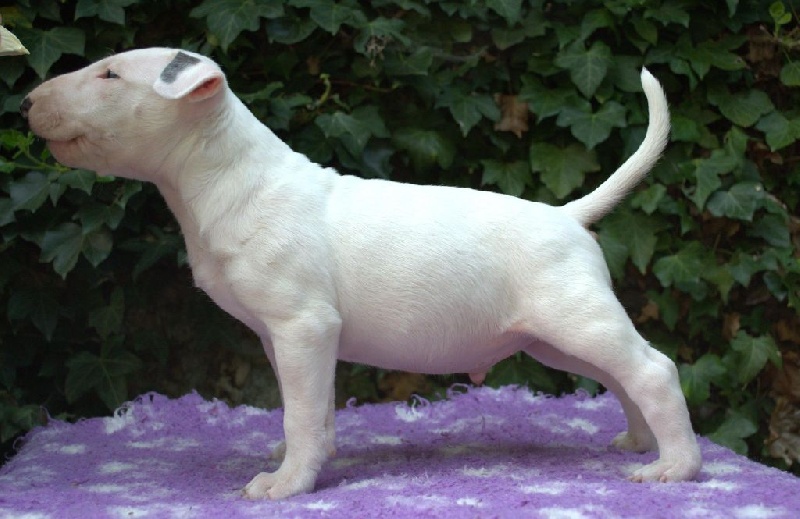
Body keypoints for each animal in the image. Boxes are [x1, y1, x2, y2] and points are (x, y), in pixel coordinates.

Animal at [21, 48, 702, 499]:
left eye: (110, 75)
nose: (25, 103)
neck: (232, 178)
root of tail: (566, 215)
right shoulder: (285, 338)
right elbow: (310, 406)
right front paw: (307, 457)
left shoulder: (304, 325)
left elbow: (298, 410)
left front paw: (284, 484)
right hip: (553, 337)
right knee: (621, 378)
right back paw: (641, 443)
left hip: (576, 317)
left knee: (653, 370)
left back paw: (676, 467)